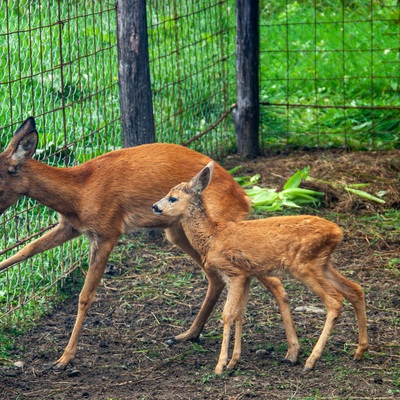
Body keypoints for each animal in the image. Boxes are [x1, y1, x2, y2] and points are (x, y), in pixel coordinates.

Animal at [0, 118, 300, 368]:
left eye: (2, 176)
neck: (80, 190)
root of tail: (244, 198)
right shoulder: (69, 226)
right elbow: (27, 249)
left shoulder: (107, 233)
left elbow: (85, 296)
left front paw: (64, 358)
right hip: (180, 234)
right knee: (215, 277)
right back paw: (187, 335)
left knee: (272, 281)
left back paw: (292, 352)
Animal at [153, 161, 368, 374]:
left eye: (173, 198)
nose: (154, 206)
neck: (213, 237)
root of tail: (338, 232)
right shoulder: (246, 274)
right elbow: (239, 313)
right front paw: (234, 361)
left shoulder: (234, 272)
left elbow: (227, 314)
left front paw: (220, 365)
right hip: (322, 263)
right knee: (354, 289)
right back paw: (359, 351)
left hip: (303, 265)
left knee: (334, 300)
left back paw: (311, 361)